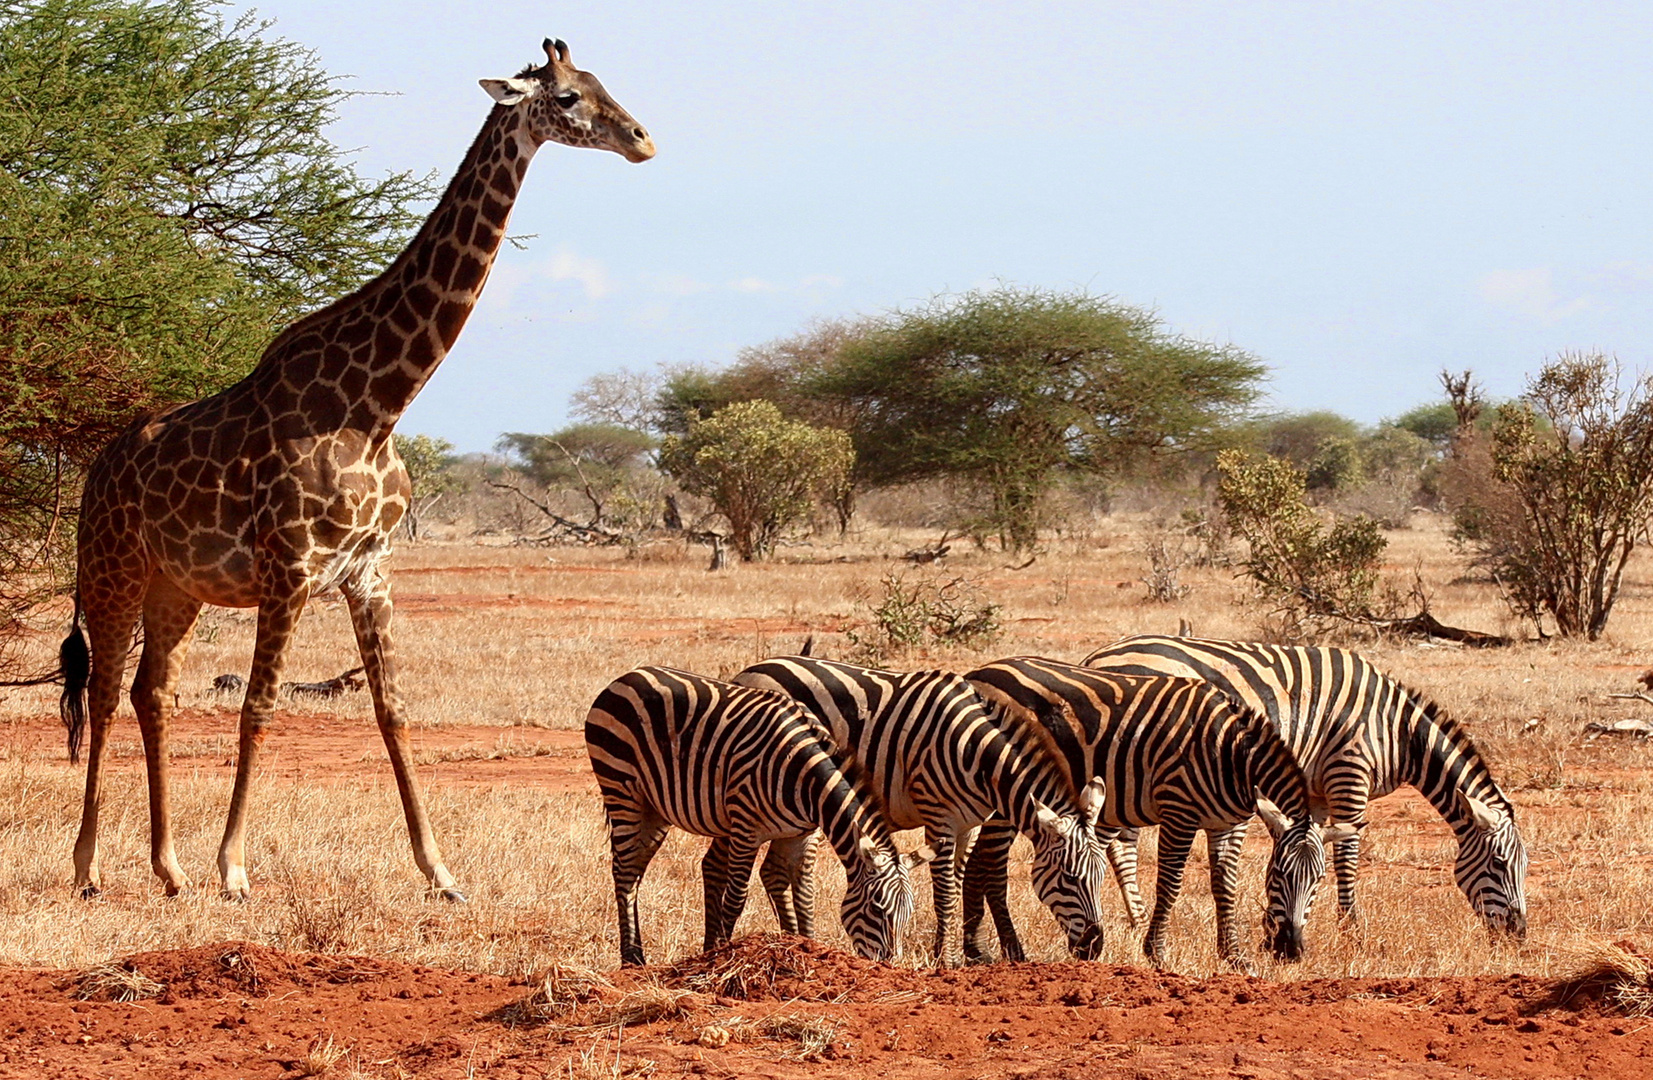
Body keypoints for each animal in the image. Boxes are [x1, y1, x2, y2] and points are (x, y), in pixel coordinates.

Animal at [59, 40, 651, 899]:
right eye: (569, 97)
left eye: (607, 83)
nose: (642, 139)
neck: (375, 407)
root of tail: (99, 465)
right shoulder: (289, 568)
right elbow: (260, 707)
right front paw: (235, 868)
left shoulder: (368, 569)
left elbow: (393, 711)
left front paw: (440, 871)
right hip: (113, 569)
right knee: (103, 694)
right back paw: (89, 868)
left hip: (178, 585)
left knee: (151, 690)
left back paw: (168, 869)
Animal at [581, 661, 932, 965]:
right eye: (877, 908)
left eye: (908, 914)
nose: (887, 965)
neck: (803, 775)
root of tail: (628, 676)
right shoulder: (746, 828)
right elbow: (737, 897)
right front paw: (724, 953)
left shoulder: (801, 834)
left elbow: (804, 895)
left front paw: (808, 946)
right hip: (621, 789)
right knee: (624, 871)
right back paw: (632, 958)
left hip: (654, 809)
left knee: (636, 871)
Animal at [724, 651, 1110, 965]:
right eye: (1070, 878)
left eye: (1101, 877)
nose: (1094, 947)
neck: (976, 753)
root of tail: (753, 669)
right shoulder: (939, 817)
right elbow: (945, 892)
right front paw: (946, 960)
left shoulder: (969, 824)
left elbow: (956, 883)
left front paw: (953, 953)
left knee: (771, 870)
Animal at [965, 658, 1348, 965]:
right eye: (1278, 875)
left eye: (1319, 880)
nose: (1291, 950)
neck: (1231, 755)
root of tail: (977, 673)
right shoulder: (1178, 810)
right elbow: (1170, 883)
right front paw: (1156, 952)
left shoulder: (1227, 824)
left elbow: (1225, 883)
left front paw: (1233, 956)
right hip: (1007, 790)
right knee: (992, 865)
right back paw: (1012, 952)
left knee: (976, 862)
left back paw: (975, 952)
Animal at [1077, 631, 1527, 932]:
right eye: (1500, 863)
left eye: (1523, 866)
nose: (1519, 933)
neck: (1396, 731)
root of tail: (1097, 658)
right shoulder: (1349, 772)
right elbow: (1347, 854)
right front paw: (1351, 928)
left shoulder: (1316, 790)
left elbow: (1307, 845)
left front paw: (1282, 918)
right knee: (1112, 840)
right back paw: (1129, 918)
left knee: (1119, 841)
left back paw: (1135, 918)